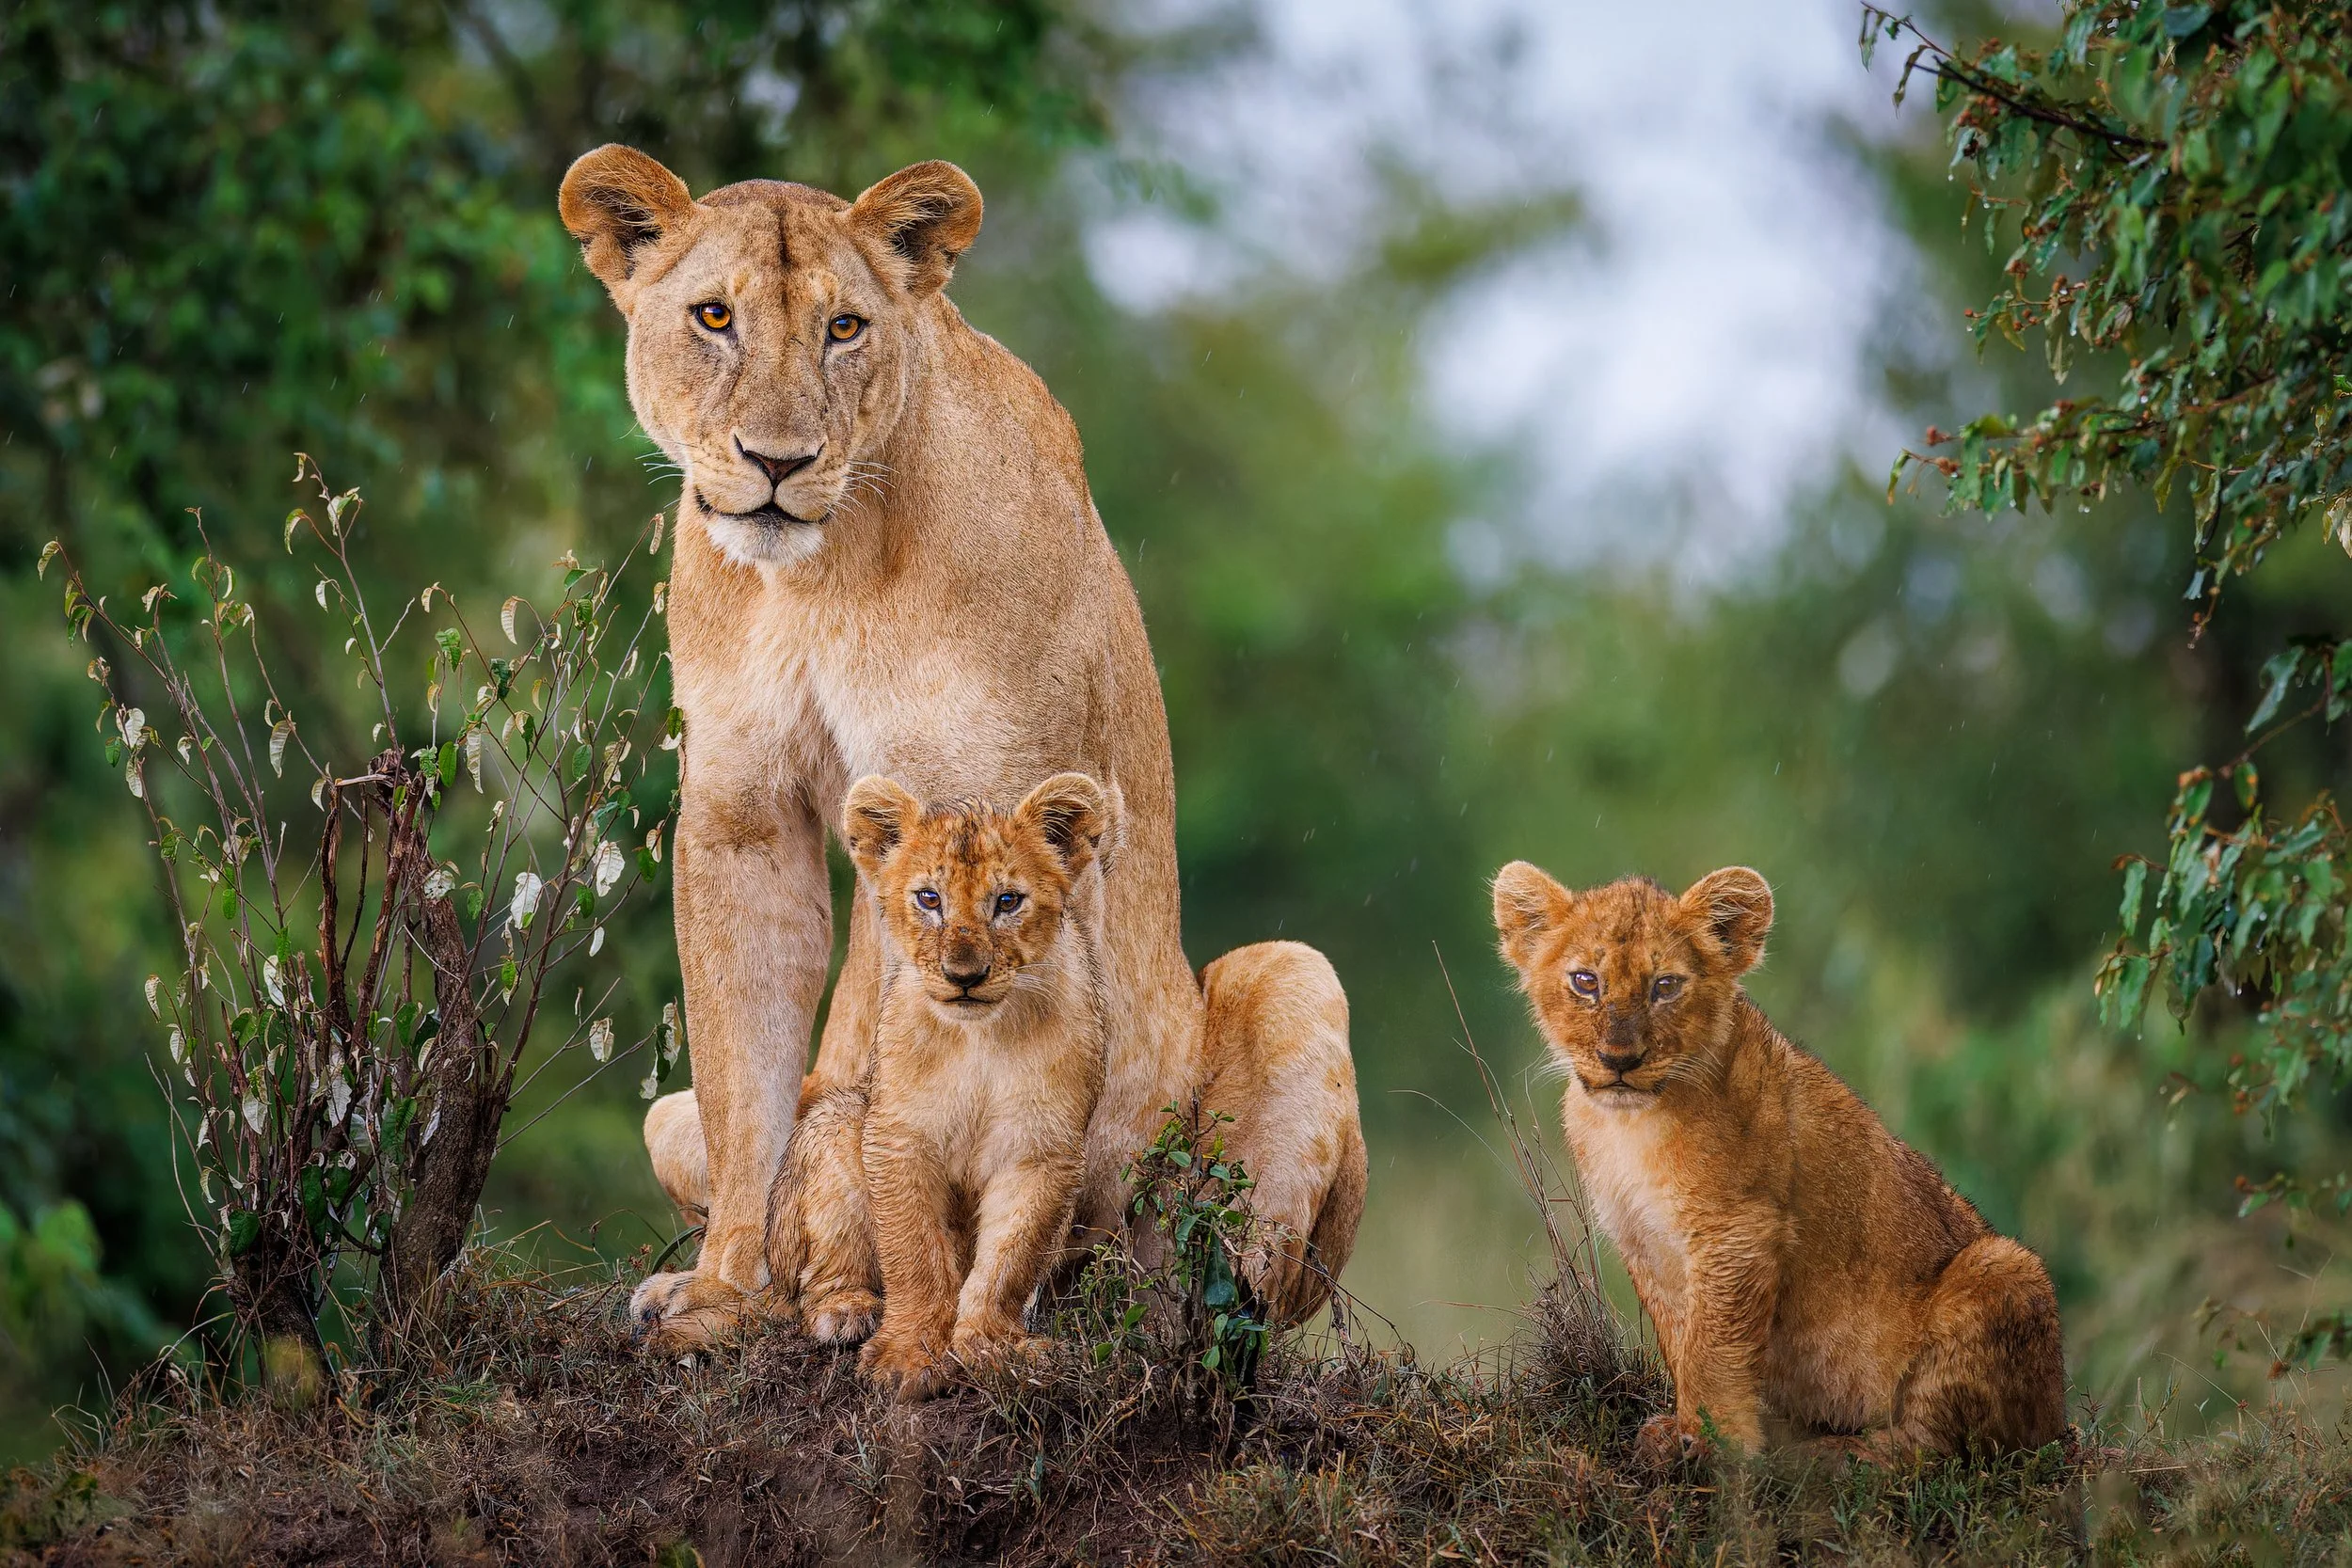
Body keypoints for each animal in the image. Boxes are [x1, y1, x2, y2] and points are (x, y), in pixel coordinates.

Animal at [555, 145, 1366, 1343]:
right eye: (713, 316)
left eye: (845, 327)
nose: (776, 461)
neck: (818, 574)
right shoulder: (745, 810)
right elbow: (748, 1067)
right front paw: (732, 1281)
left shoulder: (962, 793)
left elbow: (857, 1049)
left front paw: (827, 1275)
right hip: (665, 1119)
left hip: (1293, 982)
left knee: (1212, 1286)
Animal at [1492, 861, 2066, 1463]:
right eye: (1586, 981)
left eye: (1664, 986)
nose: (1619, 1060)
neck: (1631, 1126)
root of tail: (2059, 1415)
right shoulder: (1642, 1237)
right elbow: (1681, 1339)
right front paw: (1678, 1430)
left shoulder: (1738, 1228)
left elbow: (1714, 1349)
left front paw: (1714, 1441)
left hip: (2004, 1266)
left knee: (1939, 1446)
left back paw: (1835, 1456)